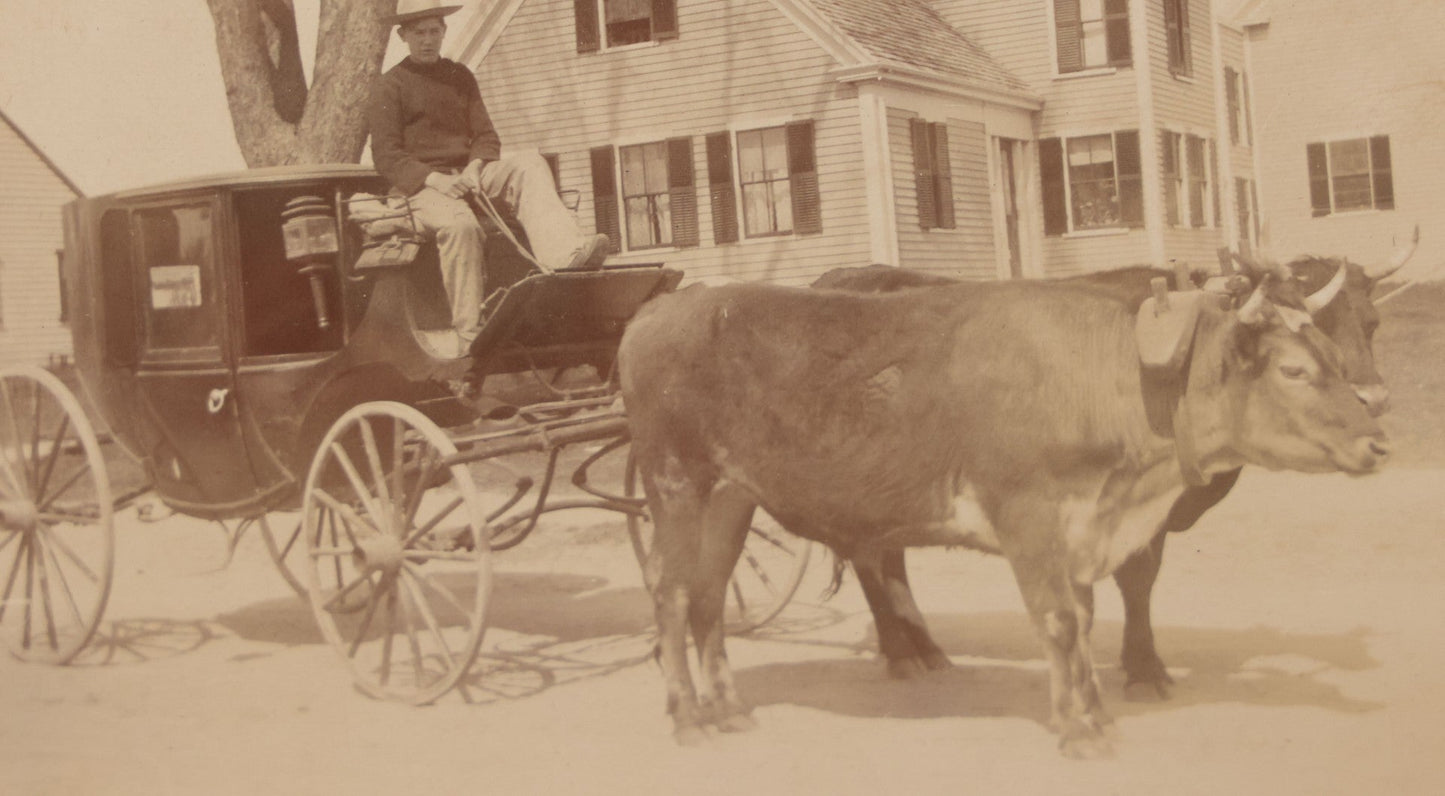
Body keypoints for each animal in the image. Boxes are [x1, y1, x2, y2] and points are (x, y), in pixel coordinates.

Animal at [618, 273, 1389, 757]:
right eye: (1293, 370)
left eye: (1330, 353)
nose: (1377, 439)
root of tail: (664, 309)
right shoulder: (1030, 519)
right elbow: (1058, 623)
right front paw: (1079, 732)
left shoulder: (1081, 526)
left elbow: (1082, 622)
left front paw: (1095, 715)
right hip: (675, 482)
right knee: (671, 593)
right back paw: (688, 717)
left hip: (731, 496)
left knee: (708, 597)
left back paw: (728, 709)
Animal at [811, 234, 1416, 694]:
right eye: (1297, 343)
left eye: (1371, 322)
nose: (1373, 399)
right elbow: (1137, 577)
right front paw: (1145, 668)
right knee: (871, 559)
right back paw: (901, 653)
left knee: (888, 557)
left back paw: (924, 647)